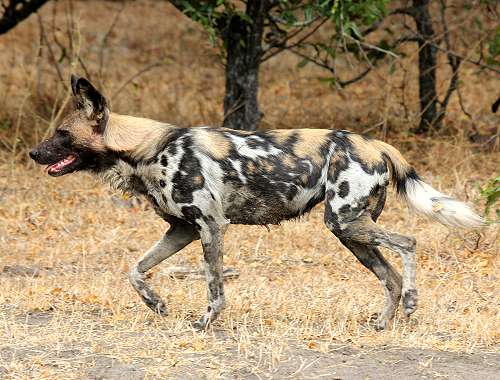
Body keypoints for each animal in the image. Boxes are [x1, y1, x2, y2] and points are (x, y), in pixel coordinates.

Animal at [29, 76, 482, 330]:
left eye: (62, 134)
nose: (34, 153)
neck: (147, 151)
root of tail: (376, 143)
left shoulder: (211, 227)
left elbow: (214, 287)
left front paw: (205, 323)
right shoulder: (181, 231)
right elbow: (135, 271)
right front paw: (157, 305)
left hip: (346, 223)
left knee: (409, 243)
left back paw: (411, 303)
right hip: (350, 232)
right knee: (388, 275)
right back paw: (384, 323)